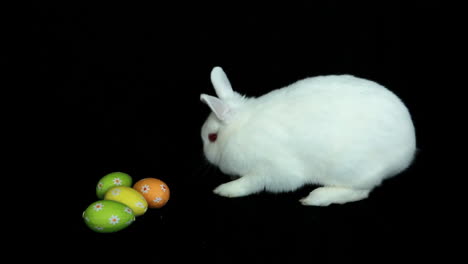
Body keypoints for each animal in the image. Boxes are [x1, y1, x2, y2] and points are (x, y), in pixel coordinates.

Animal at [199, 66, 414, 206]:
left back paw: (315, 198)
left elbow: (252, 183)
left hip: (354, 170)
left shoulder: (272, 171)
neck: (239, 131)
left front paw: (226, 189)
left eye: (212, 137)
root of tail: (409, 149)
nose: (206, 156)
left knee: (360, 192)